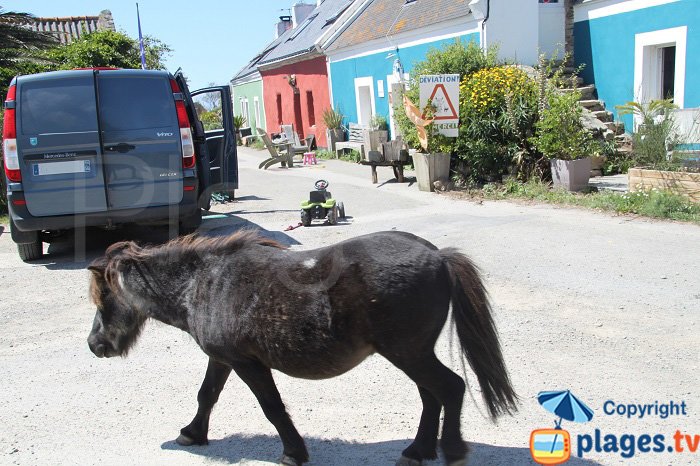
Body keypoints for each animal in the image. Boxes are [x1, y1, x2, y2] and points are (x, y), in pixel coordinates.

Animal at [86, 231, 516, 464]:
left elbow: (272, 408)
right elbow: (206, 396)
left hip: (408, 353)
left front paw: (294, 452)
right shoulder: (221, 358)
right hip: (413, 354)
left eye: (103, 298)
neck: (203, 284)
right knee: (432, 396)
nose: (94, 344)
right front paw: (192, 433)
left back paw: (451, 451)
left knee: (450, 389)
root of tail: (438, 256)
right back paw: (417, 450)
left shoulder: (246, 363)